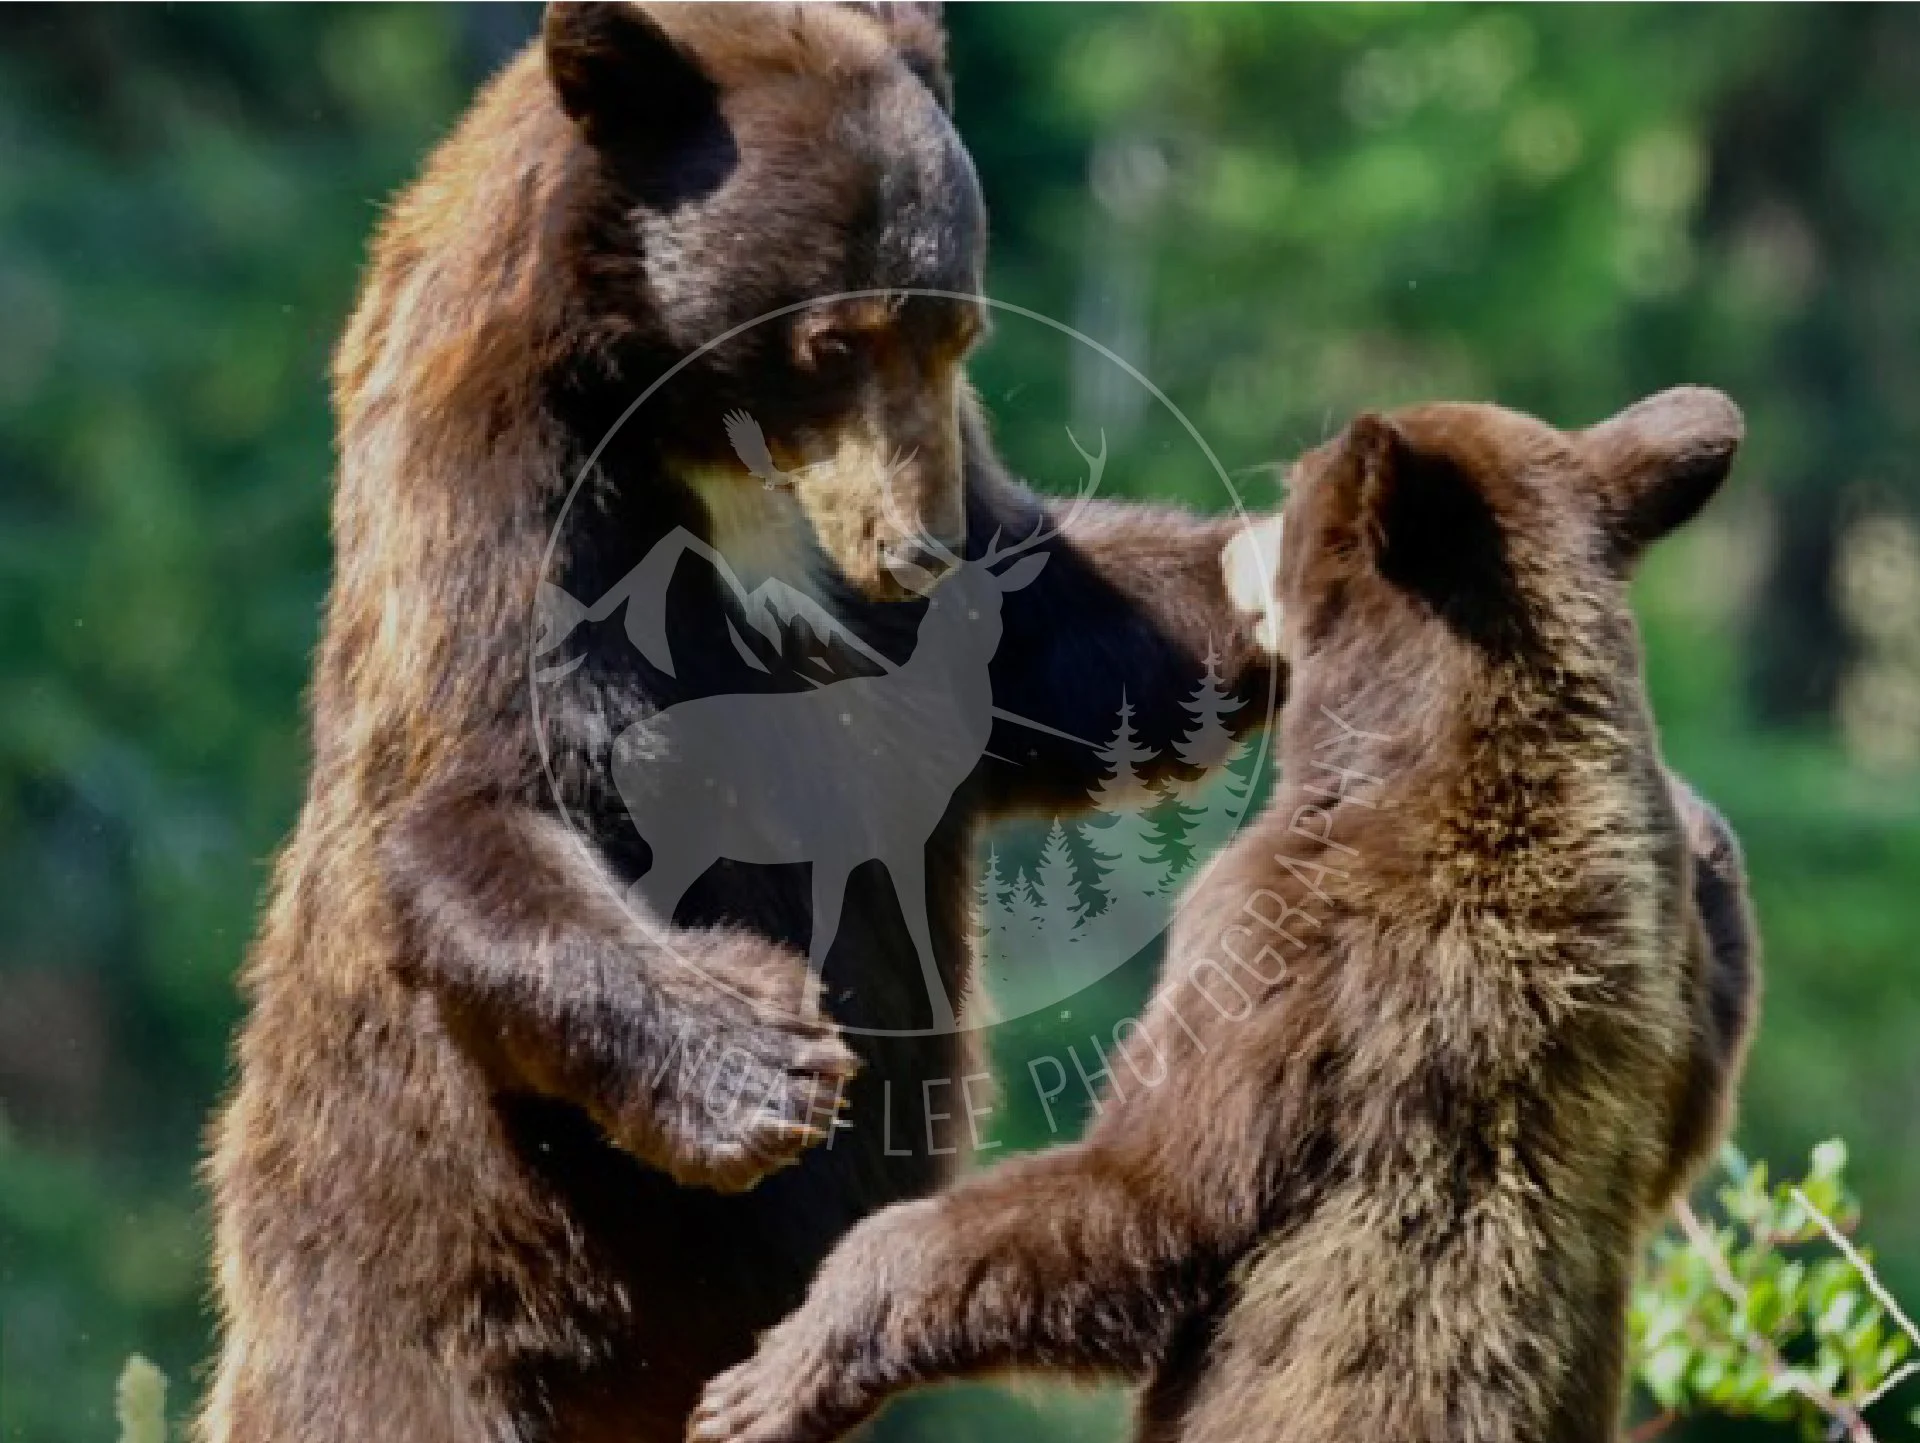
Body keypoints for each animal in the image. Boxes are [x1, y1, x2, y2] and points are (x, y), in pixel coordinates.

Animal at [199, 6, 1282, 1443]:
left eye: (955, 332)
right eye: (835, 338)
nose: (916, 546)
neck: (694, 438)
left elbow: (1055, 650)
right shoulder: (505, 507)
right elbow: (483, 808)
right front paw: (765, 1063)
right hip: (418, 1284)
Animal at [689, 386, 1761, 1443]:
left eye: (1298, 487)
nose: (1245, 544)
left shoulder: (1275, 926)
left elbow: (1160, 1196)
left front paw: (776, 1371)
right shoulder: (1655, 968)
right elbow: (1694, 1095)